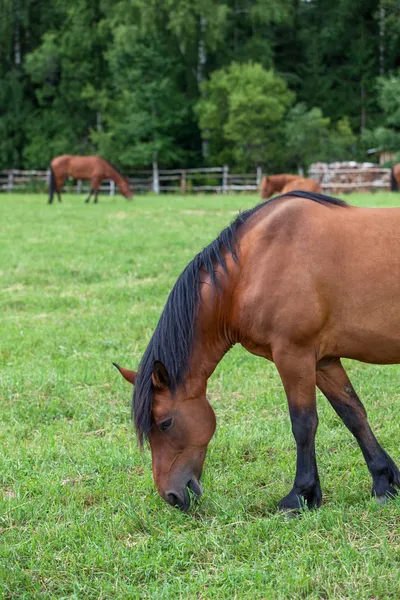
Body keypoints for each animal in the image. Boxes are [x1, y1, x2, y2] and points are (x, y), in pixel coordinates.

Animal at [114, 191, 400, 510]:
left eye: (165, 423)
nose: (172, 497)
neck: (253, 266)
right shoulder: (324, 361)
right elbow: (353, 414)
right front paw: (383, 482)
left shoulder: (293, 355)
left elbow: (303, 423)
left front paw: (300, 495)